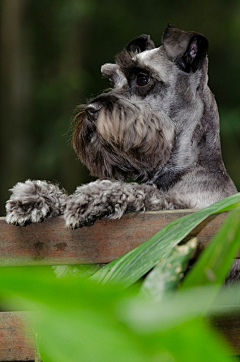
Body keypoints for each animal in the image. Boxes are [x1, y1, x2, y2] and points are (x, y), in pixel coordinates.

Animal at [5, 25, 236, 230]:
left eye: (142, 78)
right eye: (113, 81)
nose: (90, 110)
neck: (183, 169)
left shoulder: (191, 208)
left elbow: (149, 195)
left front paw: (93, 196)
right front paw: (34, 196)